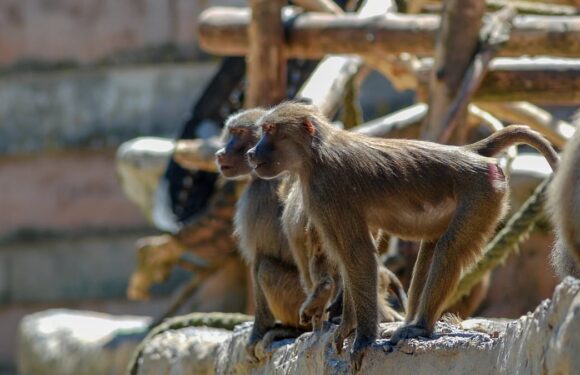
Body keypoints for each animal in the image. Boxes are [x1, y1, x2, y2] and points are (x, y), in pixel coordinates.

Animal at [247, 101, 560, 368]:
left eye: (270, 130)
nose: (252, 153)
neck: (315, 153)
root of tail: (467, 153)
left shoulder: (328, 188)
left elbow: (358, 255)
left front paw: (363, 338)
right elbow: (350, 259)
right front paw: (346, 327)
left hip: (483, 192)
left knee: (448, 249)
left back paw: (421, 327)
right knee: (430, 251)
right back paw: (408, 324)